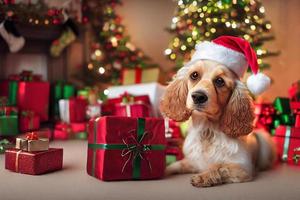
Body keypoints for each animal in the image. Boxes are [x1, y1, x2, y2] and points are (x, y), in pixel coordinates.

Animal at [161, 36, 276, 188]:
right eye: (194, 75)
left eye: (220, 81)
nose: (198, 96)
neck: (208, 130)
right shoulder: (193, 162)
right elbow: (175, 165)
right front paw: (162, 170)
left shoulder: (243, 168)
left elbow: (219, 167)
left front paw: (203, 177)